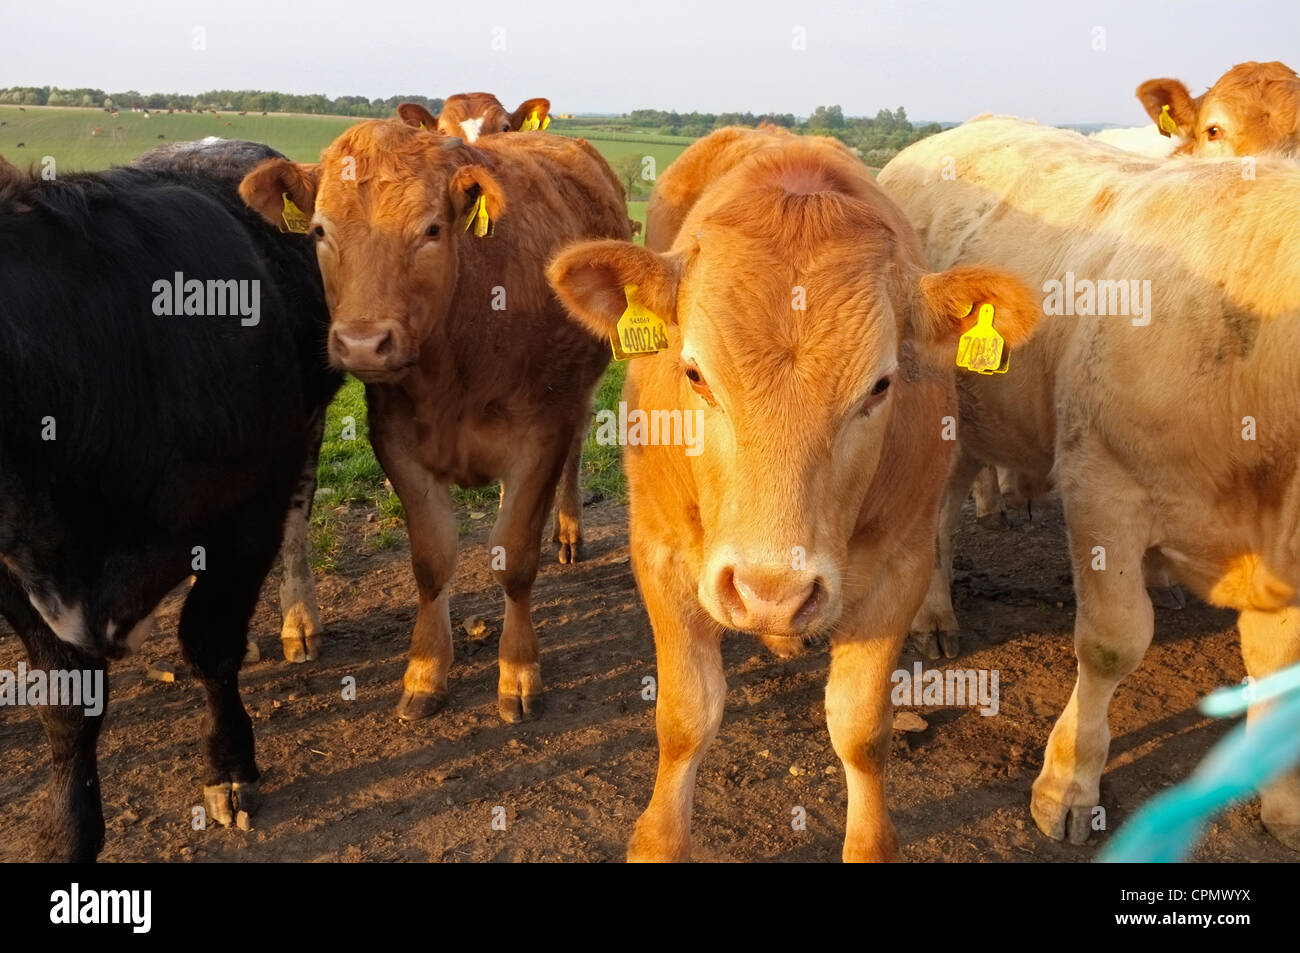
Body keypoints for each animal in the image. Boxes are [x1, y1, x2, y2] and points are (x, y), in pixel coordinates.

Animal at [0, 139, 340, 861]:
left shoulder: (247, 518)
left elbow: (211, 642)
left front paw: (230, 768)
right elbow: (66, 697)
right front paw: (70, 829)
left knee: (300, 516)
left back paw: (299, 621)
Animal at [238, 118, 628, 723]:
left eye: (431, 229)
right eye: (320, 231)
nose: (362, 343)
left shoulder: (543, 432)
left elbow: (516, 557)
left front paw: (519, 671)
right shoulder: (396, 440)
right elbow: (431, 560)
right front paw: (425, 670)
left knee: (576, 451)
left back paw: (567, 531)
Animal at [547, 126, 1040, 861]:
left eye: (880, 386)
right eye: (694, 373)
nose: (771, 592)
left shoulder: (900, 565)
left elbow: (861, 727)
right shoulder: (659, 551)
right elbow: (685, 716)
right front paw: (658, 837)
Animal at [879, 116, 1300, 851]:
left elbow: (1276, 667)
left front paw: (1282, 803)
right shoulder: (1103, 485)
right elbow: (1111, 643)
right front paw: (1068, 784)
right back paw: (933, 616)